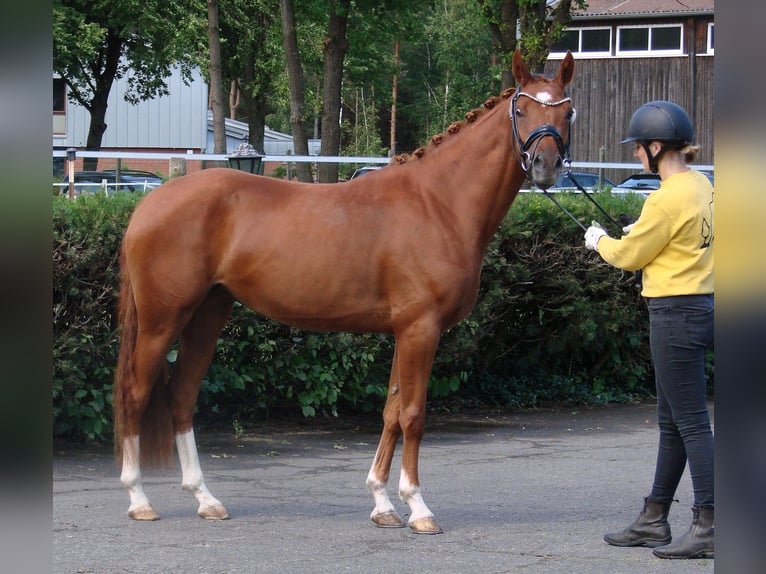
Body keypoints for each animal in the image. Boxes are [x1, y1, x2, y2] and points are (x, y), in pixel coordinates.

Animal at [111, 49, 572, 536]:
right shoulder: (421, 329)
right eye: (521, 111)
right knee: (134, 395)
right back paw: (139, 499)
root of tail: (148, 203)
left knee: (182, 395)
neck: (438, 203)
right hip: (162, 320)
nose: (545, 166)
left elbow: (391, 411)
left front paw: (382, 503)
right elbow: (413, 415)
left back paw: (205, 498)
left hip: (207, 314)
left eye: (567, 111)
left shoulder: (405, 331)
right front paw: (418, 507)